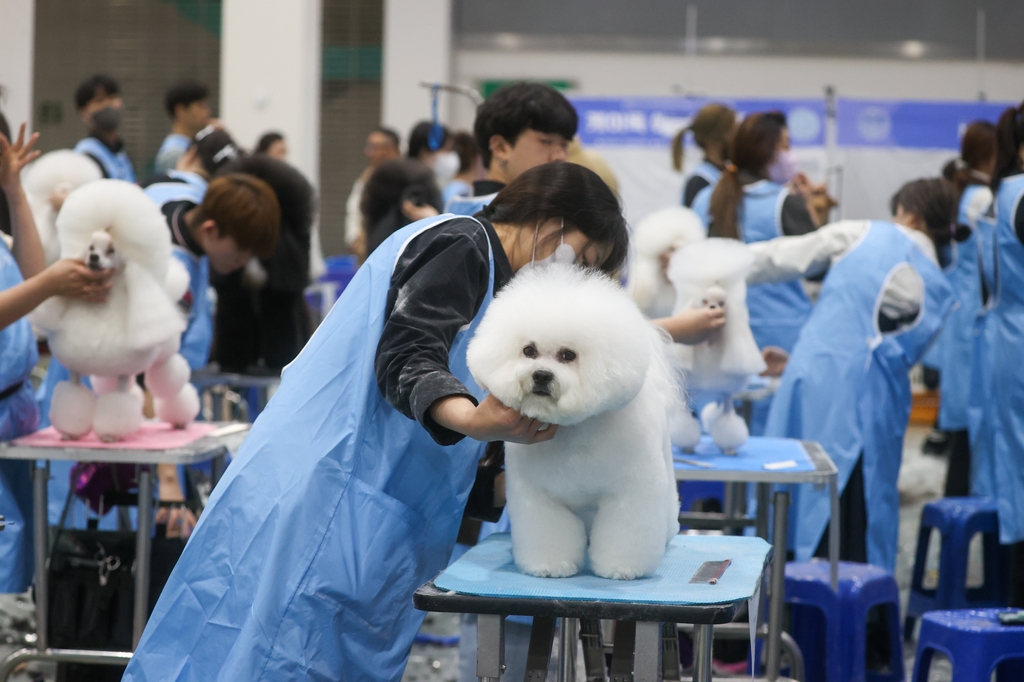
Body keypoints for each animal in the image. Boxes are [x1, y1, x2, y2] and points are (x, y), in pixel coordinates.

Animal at [31, 178, 199, 438]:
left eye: (111, 251)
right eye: (91, 247)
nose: (93, 259)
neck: (101, 309)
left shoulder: (122, 371)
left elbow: (118, 402)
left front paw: (111, 434)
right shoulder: (75, 371)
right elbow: (73, 396)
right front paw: (70, 432)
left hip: (163, 357)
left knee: (171, 385)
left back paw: (180, 420)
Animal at [468, 262, 684, 577]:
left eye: (568, 355)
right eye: (529, 350)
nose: (541, 375)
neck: (573, 432)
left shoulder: (630, 492)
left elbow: (627, 533)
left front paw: (622, 568)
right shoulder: (539, 497)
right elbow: (548, 531)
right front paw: (549, 565)